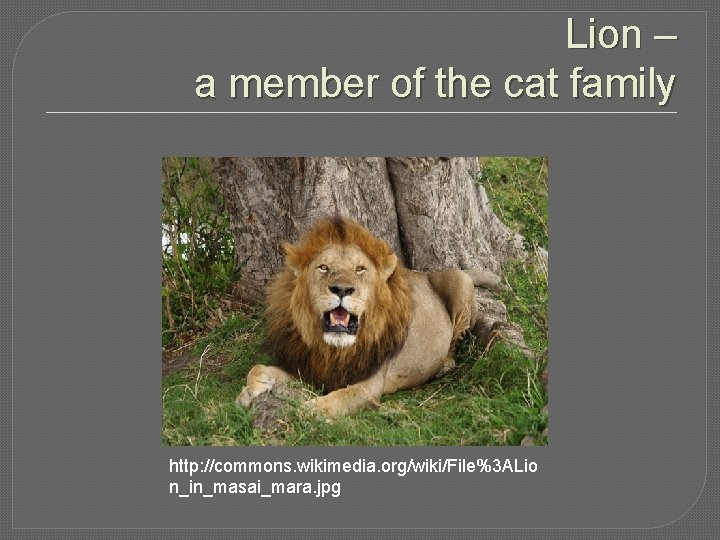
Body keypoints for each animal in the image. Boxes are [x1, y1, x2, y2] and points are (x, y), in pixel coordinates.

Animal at [236, 217, 495, 418]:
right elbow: (257, 367)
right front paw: (248, 392)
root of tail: (428, 273)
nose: (341, 289)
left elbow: (338, 398)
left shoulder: (370, 385)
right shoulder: (309, 369)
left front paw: (308, 410)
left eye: (360, 269)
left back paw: (445, 364)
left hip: (459, 281)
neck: (334, 350)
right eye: (323, 267)